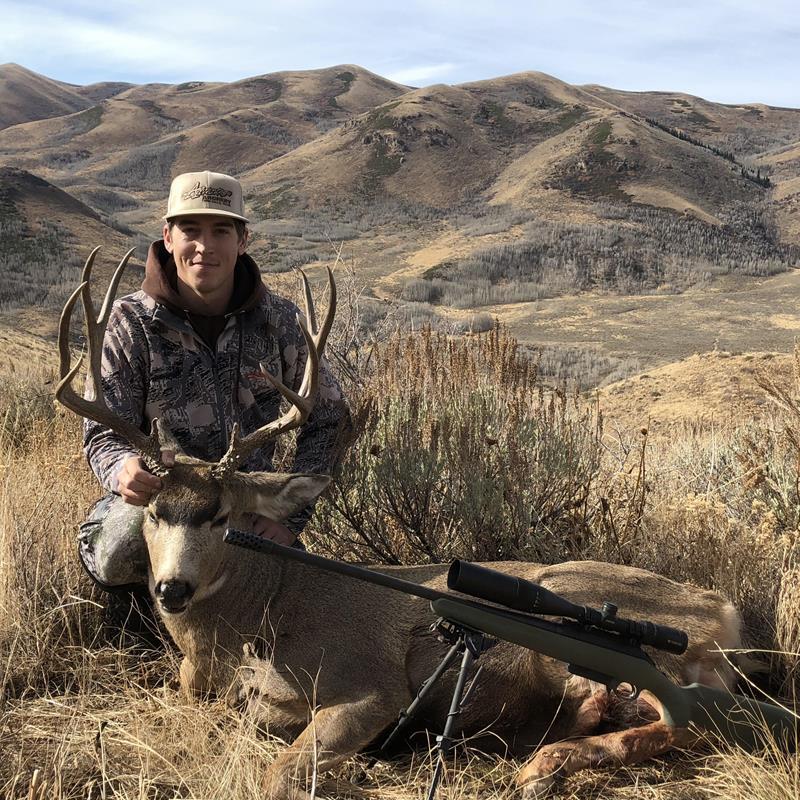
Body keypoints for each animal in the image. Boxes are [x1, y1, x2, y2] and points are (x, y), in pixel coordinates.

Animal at [57, 250, 746, 800]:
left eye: (222, 514)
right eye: (154, 511)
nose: (172, 588)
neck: (256, 621)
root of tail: (725, 611)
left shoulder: (370, 685)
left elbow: (278, 771)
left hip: (585, 610)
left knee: (696, 724)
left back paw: (543, 762)